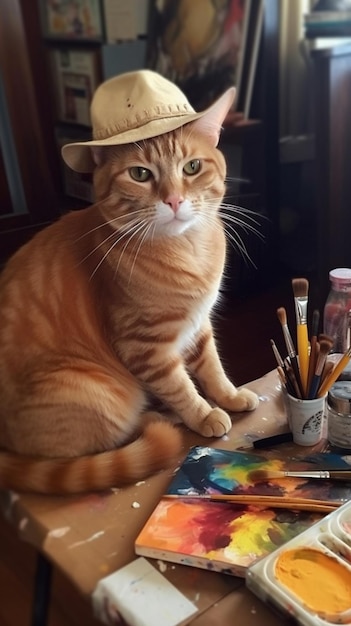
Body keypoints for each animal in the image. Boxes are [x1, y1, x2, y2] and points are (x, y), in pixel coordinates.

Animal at [0, 75, 258, 492]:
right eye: (140, 175)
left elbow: (212, 367)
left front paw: (229, 396)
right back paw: (159, 418)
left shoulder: (197, 324)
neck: (188, 248)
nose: (174, 200)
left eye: (192, 167)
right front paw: (204, 414)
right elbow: (182, 386)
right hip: (96, 392)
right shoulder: (144, 347)